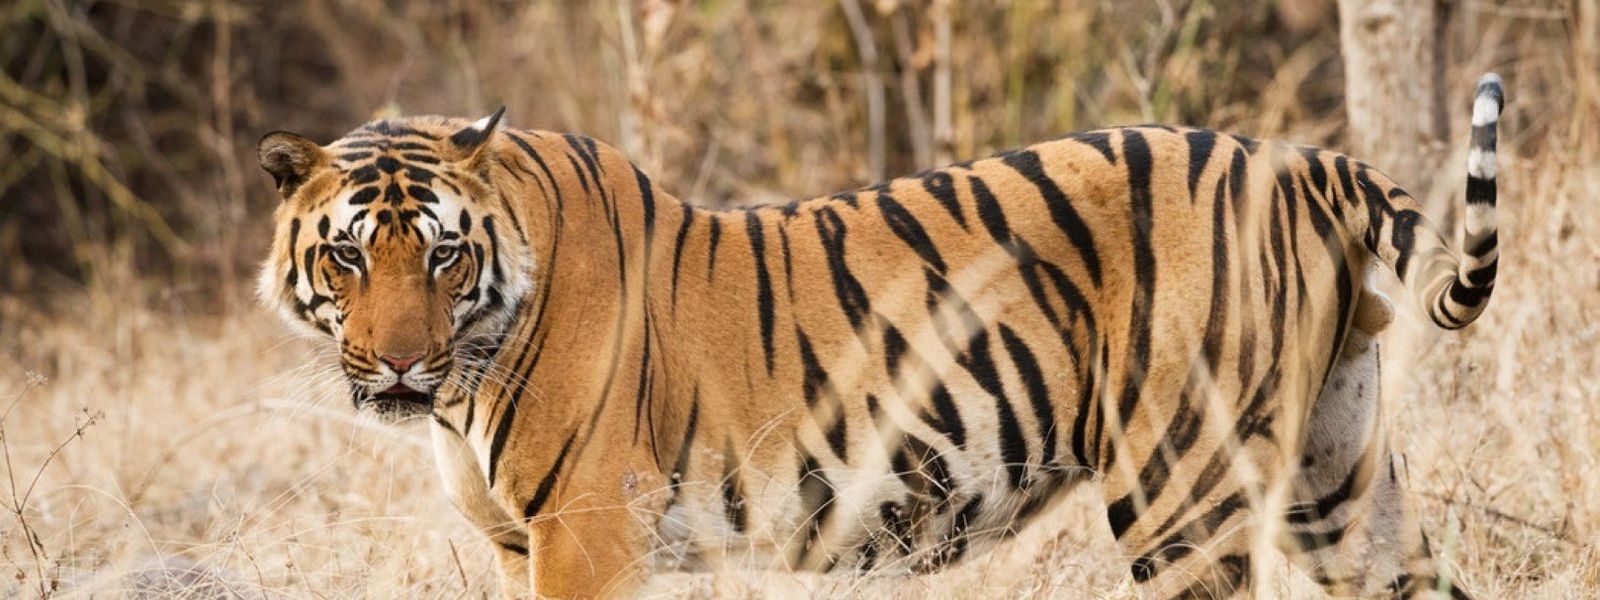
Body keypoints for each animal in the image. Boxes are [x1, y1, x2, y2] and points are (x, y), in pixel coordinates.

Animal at [254, 73, 1504, 598]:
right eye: (348, 257)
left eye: (443, 257)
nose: (400, 362)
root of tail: (1302, 161)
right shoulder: (524, 544)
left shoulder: (585, 533)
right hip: (1336, 475)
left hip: (1178, 487)